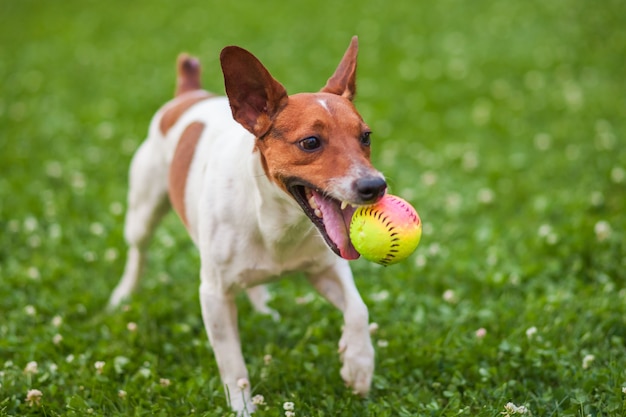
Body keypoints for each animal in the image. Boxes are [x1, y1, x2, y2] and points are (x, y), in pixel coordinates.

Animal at [109, 36, 388, 412]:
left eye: (366, 137)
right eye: (310, 142)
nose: (375, 186)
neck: (277, 223)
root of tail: (188, 93)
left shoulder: (326, 268)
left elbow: (358, 308)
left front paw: (358, 365)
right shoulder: (214, 295)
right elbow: (234, 367)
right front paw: (243, 408)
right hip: (143, 211)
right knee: (138, 252)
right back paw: (123, 295)